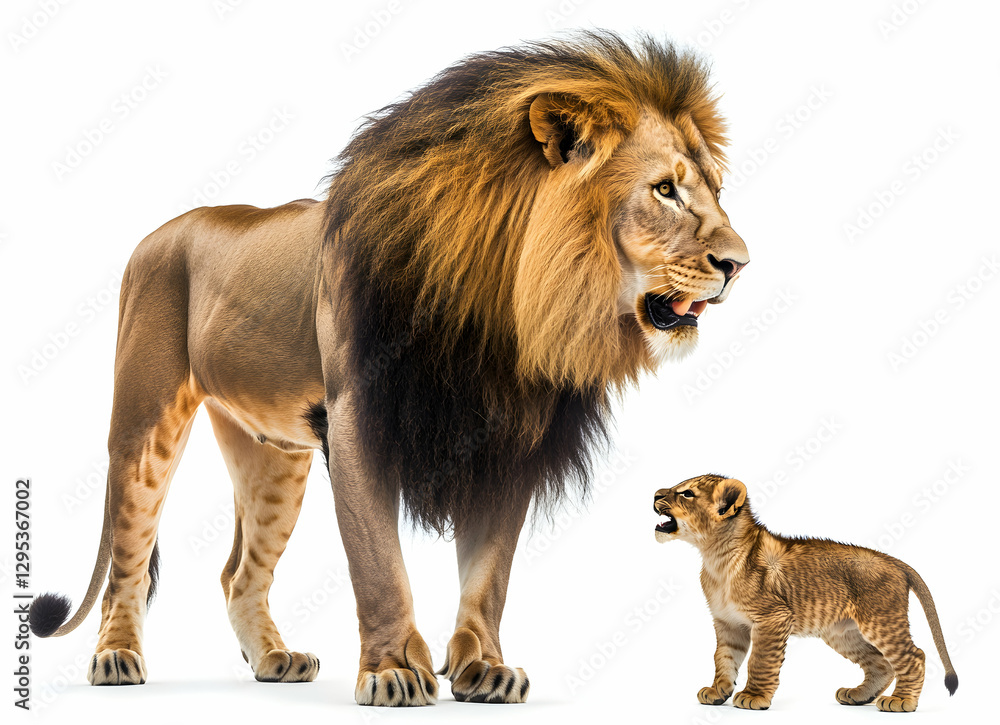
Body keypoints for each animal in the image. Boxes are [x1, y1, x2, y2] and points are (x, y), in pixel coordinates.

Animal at [29, 32, 749, 706]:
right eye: (665, 189)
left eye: (715, 190)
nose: (740, 263)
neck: (502, 306)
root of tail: (159, 232)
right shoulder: (356, 423)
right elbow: (379, 567)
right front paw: (394, 668)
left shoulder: (508, 441)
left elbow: (489, 574)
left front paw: (483, 667)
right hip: (144, 424)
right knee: (126, 560)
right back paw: (117, 658)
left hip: (274, 458)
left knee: (239, 574)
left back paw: (274, 659)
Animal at [653, 474, 959, 712]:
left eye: (687, 493)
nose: (655, 494)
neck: (715, 557)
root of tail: (895, 561)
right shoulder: (728, 622)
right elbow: (724, 658)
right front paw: (718, 692)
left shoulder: (773, 617)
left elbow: (760, 660)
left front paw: (754, 696)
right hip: (843, 633)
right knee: (881, 663)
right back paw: (859, 695)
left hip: (882, 621)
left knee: (914, 656)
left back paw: (901, 701)